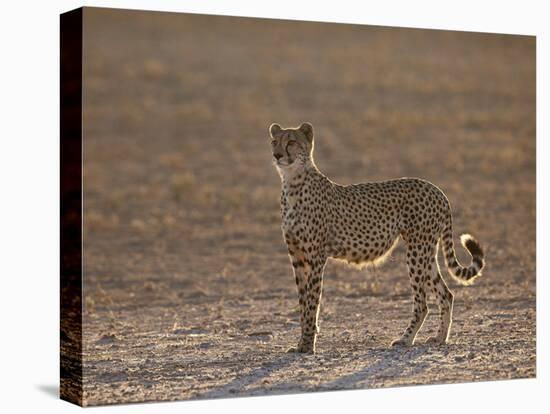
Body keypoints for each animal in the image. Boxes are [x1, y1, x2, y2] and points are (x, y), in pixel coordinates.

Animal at [272, 122, 488, 352]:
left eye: (291, 142)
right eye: (274, 141)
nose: (277, 155)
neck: (292, 183)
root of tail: (437, 190)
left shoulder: (315, 258)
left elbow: (312, 302)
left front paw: (307, 345)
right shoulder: (297, 258)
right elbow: (303, 302)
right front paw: (301, 343)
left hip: (417, 250)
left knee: (422, 303)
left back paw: (406, 339)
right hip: (426, 251)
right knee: (446, 294)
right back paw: (440, 338)